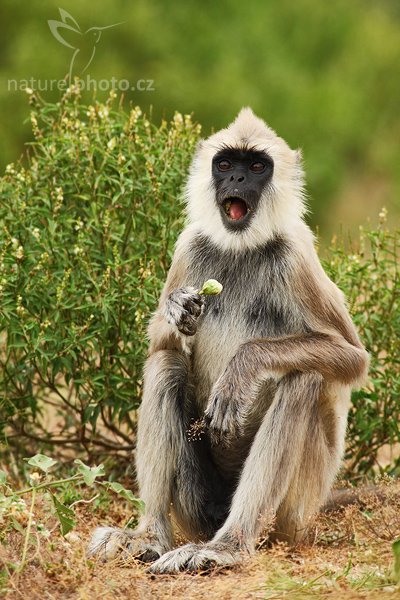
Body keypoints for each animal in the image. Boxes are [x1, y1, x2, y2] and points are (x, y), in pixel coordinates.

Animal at [87, 106, 368, 572]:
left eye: (255, 166)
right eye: (225, 164)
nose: (236, 179)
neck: (241, 247)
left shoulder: (296, 255)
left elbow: (352, 356)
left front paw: (243, 368)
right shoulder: (189, 245)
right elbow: (160, 344)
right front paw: (178, 308)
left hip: (297, 509)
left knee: (303, 379)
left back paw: (229, 545)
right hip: (195, 505)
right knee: (165, 365)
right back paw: (151, 537)